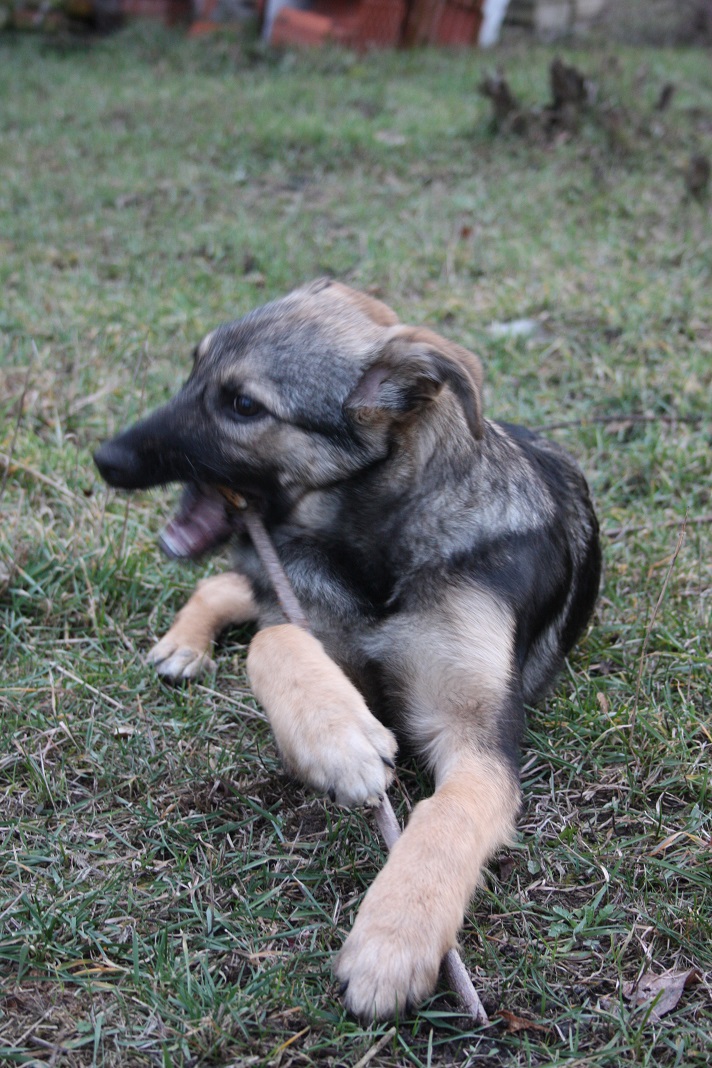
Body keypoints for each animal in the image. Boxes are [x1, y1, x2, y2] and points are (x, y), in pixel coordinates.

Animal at [94, 279, 601, 1020]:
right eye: (193, 368)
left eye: (243, 405)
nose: (104, 458)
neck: (378, 548)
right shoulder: (310, 619)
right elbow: (275, 640)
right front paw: (341, 743)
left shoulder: (479, 732)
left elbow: (446, 815)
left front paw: (394, 941)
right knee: (228, 586)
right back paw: (182, 646)